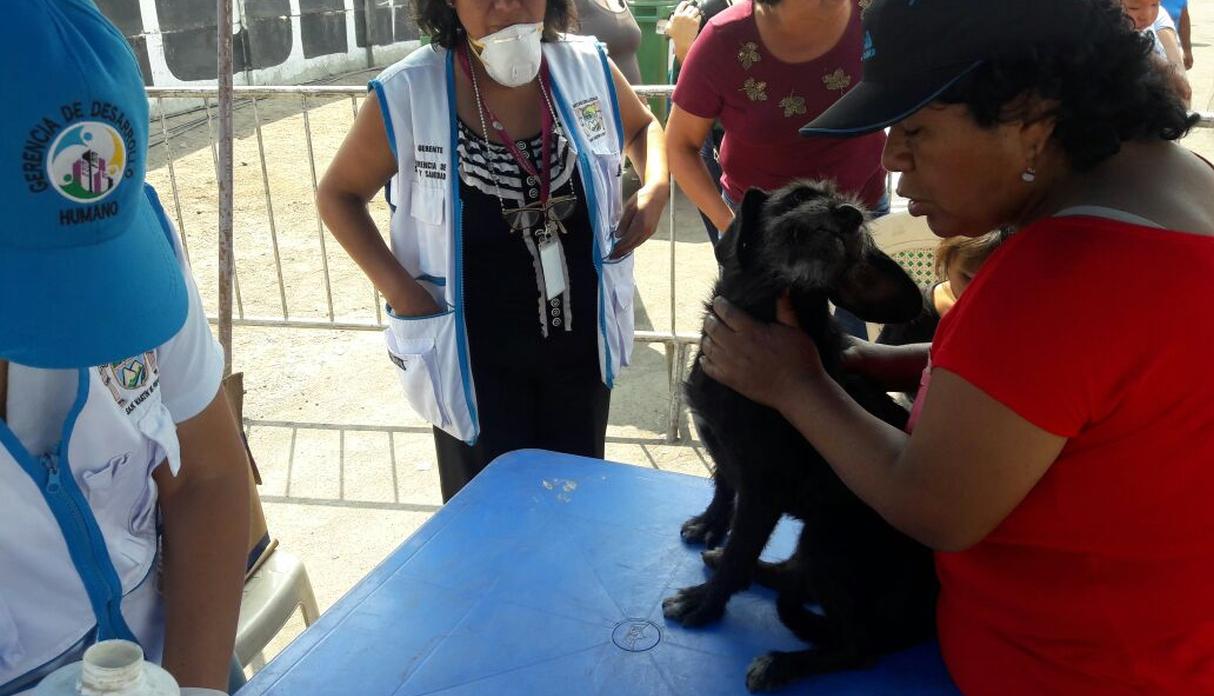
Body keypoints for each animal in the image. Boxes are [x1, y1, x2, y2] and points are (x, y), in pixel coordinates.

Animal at [665, 182, 937, 689]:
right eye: (796, 198)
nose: (850, 215)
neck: (767, 310)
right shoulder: (723, 451)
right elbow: (722, 488)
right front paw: (710, 525)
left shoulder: (763, 490)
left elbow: (740, 550)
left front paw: (705, 603)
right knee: (795, 578)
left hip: (831, 542)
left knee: (857, 647)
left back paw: (783, 662)